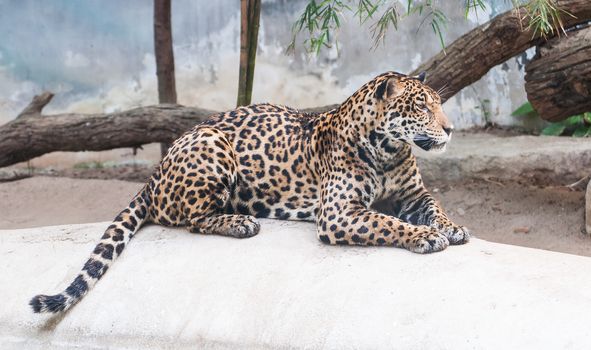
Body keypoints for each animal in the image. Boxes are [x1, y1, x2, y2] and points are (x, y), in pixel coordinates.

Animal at [30, 69, 472, 314]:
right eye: (421, 107)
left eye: (438, 104)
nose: (450, 129)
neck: (388, 149)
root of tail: (154, 175)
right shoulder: (340, 213)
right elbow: (386, 222)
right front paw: (425, 237)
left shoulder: (413, 196)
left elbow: (435, 207)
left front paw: (452, 228)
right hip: (211, 145)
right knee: (192, 220)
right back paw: (240, 222)